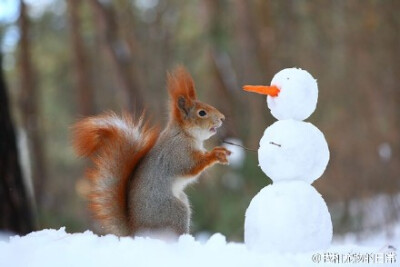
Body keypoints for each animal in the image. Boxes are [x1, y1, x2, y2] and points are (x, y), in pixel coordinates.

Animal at [71, 66, 231, 238]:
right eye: (202, 113)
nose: (223, 118)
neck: (184, 133)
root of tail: (136, 231)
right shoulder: (177, 153)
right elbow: (191, 166)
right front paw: (216, 154)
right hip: (174, 211)